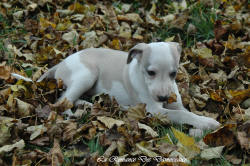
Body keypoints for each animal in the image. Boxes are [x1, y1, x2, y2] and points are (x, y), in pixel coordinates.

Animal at [14, 42, 221, 129]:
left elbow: (185, 111)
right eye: (150, 72)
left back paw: (88, 104)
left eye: (173, 73)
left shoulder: (175, 101)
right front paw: (208, 123)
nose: (163, 97)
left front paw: (200, 124)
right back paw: (73, 113)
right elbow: (182, 115)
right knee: (62, 101)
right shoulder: (154, 110)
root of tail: (61, 63)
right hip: (86, 74)